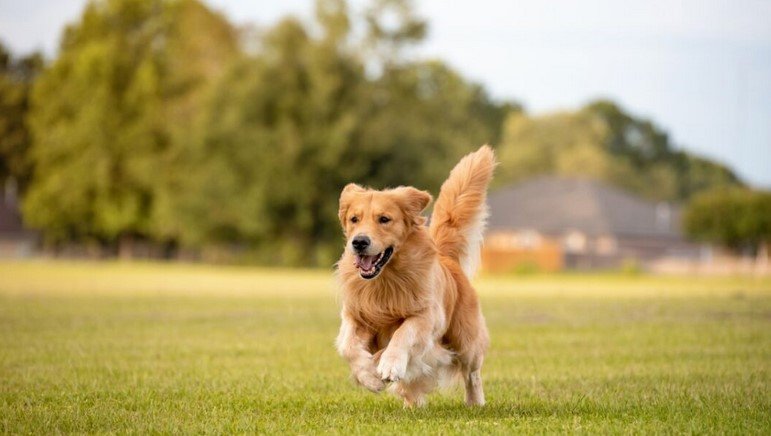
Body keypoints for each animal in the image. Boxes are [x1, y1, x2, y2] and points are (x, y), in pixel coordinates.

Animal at [336, 145, 494, 408]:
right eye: (354, 219)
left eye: (384, 219)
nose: (359, 242)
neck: (385, 280)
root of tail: (447, 259)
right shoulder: (355, 314)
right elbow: (348, 346)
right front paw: (369, 376)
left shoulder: (427, 315)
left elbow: (403, 332)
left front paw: (390, 363)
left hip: (465, 340)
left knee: (472, 372)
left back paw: (475, 402)